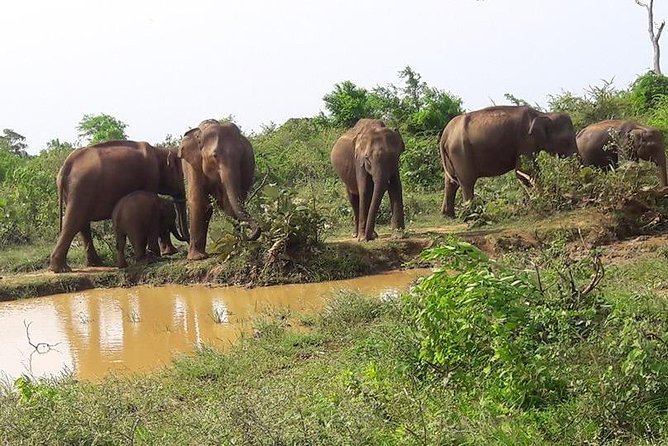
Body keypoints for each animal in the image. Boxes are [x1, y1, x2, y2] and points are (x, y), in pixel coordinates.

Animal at [49, 140, 188, 272]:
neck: (159, 150)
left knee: (83, 224)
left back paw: (96, 264)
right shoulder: (151, 177)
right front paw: (162, 254)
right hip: (80, 189)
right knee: (74, 222)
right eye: (182, 176)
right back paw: (61, 269)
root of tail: (65, 168)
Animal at [177, 120, 260, 260]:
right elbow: (199, 202)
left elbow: (228, 202)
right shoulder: (193, 164)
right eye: (214, 156)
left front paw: (235, 250)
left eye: (241, 155)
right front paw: (197, 258)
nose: (249, 234)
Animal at [438, 104, 580, 216]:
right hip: (461, 152)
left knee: (451, 183)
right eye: (567, 140)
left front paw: (529, 203)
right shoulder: (525, 140)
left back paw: (449, 215)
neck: (542, 114)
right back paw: (472, 214)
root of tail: (445, 135)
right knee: (467, 182)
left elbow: (523, 173)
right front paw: (543, 199)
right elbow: (525, 170)